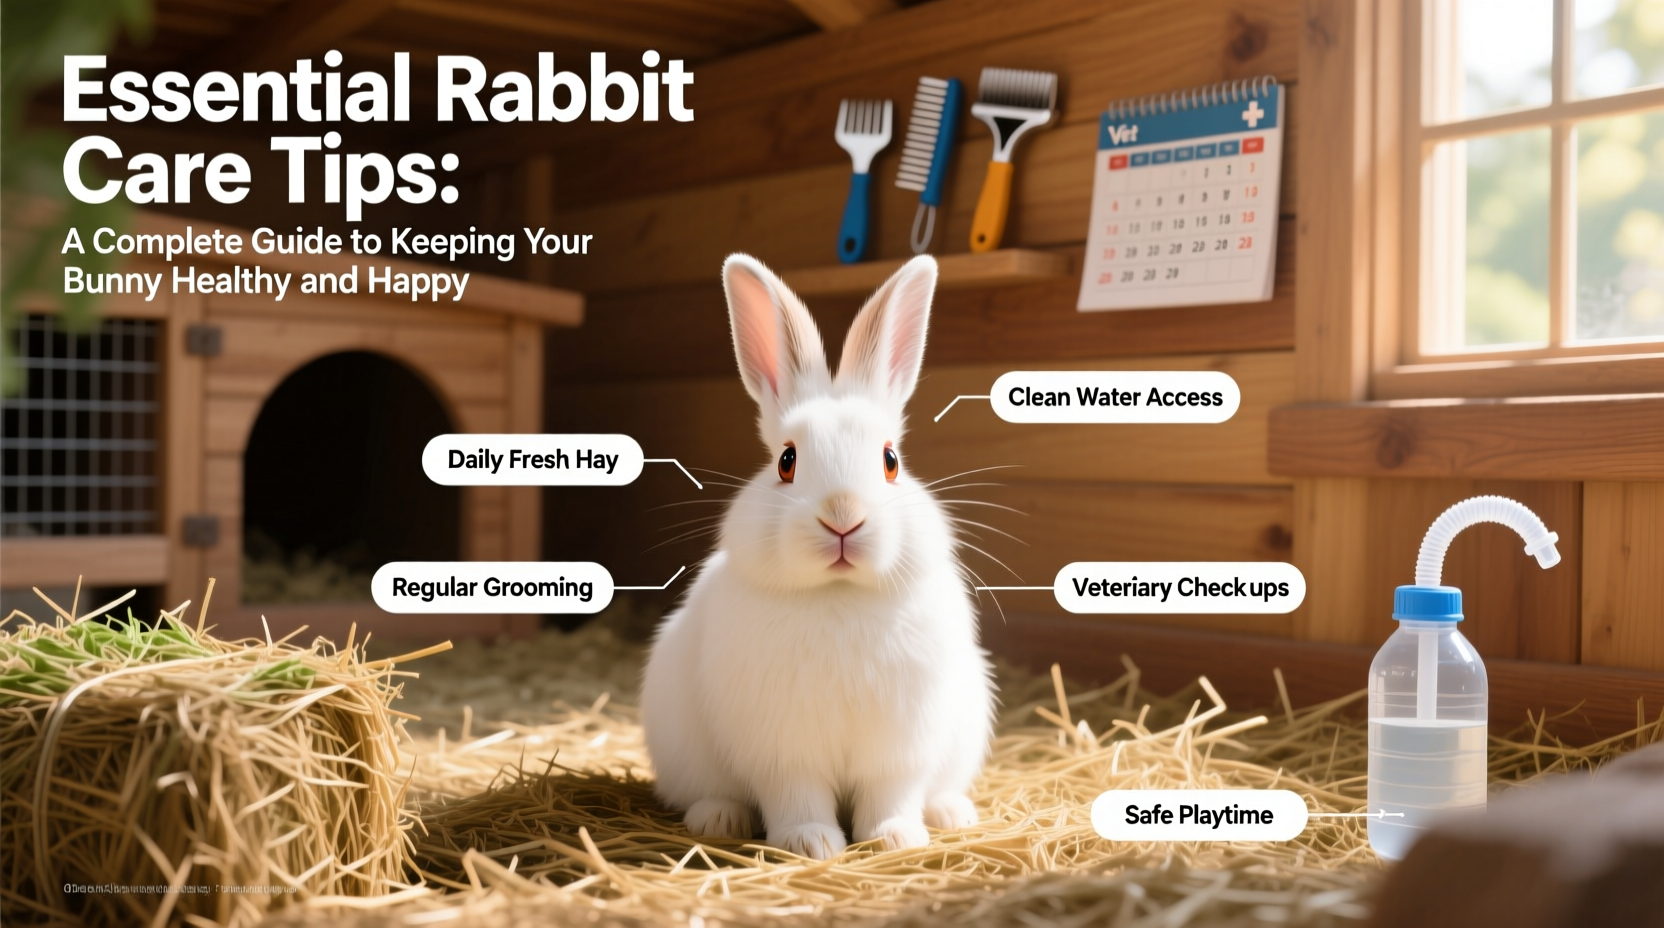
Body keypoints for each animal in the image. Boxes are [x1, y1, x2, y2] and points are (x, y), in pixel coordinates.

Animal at [640, 253, 995, 860]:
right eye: (786, 461)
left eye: (890, 460)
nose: (842, 516)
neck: (838, 595)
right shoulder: (783, 748)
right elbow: (797, 795)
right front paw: (810, 844)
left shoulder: (899, 746)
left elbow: (890, 794)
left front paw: (895, 838)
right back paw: (718, 819)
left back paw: (951, 812)